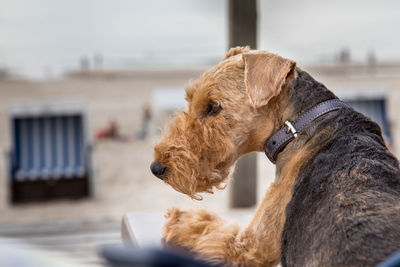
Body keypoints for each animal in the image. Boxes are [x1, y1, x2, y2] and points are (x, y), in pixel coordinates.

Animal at [149, 47, 400, 266]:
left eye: (213, 107)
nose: (156, 167)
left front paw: (178, 218)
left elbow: (205, 227)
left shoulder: (248, 245)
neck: (299, 124)